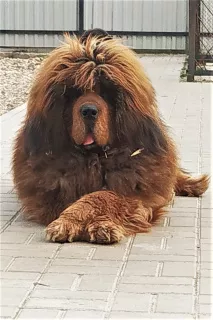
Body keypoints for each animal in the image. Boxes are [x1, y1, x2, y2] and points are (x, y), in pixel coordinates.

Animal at [12, 30, 209, 244]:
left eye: (106, 93)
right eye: (74, 93)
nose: (89, 111)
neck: (94, 157)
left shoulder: (134, 187)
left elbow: (103, 196)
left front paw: (101, 225)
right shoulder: (55, 188)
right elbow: (80, 199)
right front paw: (68, 222)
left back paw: (194, 184)